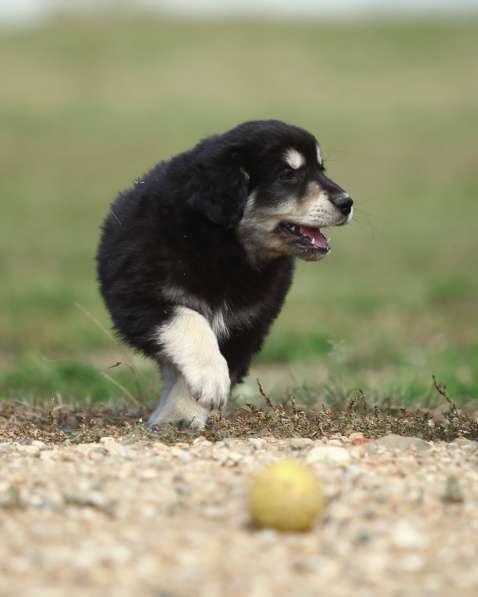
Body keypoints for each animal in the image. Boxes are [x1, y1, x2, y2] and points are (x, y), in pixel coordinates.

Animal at [96, 120, 352, 428]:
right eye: (288, 174)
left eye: (321, 169)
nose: (348, 202)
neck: (222, 245)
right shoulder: (140, 296)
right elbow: (189, 321)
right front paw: (205, 383)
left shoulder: (245, 322)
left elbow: (222, 358)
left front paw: (183, 413)